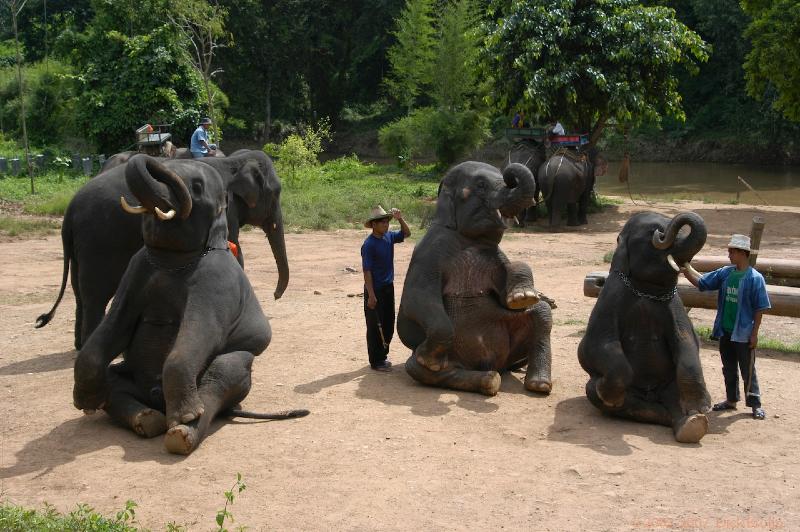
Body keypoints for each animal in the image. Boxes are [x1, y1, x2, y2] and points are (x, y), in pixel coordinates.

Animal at [396, 160, 552, 396]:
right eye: (480, 185)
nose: (511, 176)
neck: (469, 240)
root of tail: (491, 364)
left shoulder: (495, 256)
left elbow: (509, 293)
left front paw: (523, 297)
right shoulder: (427, 253)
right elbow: (416, 298)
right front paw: (428, 357)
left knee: (542, 312)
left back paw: (538, 384)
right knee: (416, 368)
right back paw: (487, 380)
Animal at [576, 210, 712, 442]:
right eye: (656, 232)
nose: (662, 232)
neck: (645, 290)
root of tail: (652, 396)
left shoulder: (675, 306)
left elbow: (687, 342)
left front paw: (701, 407)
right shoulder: (608, 301)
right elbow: (597, 345)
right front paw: (605, 392)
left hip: (670, 386)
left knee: (674, 399)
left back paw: (693, 423)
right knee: (599, 394)